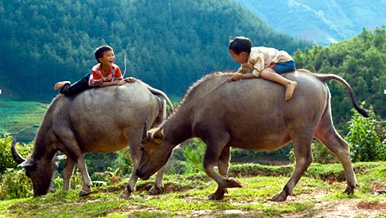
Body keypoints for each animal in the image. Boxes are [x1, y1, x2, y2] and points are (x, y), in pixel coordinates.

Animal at [11, 80, 173, 198]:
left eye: (28, 173)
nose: (37, 194)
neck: (54, 116)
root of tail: (148, 90)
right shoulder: (67, 148)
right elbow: (67, 171)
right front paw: (65, 191)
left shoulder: (70, 141)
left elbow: (81, 164)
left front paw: (86, 189)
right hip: (155, 129)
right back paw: (156, 188)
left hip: (135, 135)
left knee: (137, 160)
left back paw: (127, 190)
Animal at [136, 69, 370, 201]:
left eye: (145, 147)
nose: (138, 172)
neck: (196, 108)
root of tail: (317, 77)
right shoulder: (225, 143)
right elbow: (222, 166)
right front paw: (219, 192)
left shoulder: (216, 139)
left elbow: (208, 166)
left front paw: (232, 184)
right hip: (322, 124)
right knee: (342, 147)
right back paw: (350, 187)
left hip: (302, 129)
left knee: (304, 158)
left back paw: (283, 193)